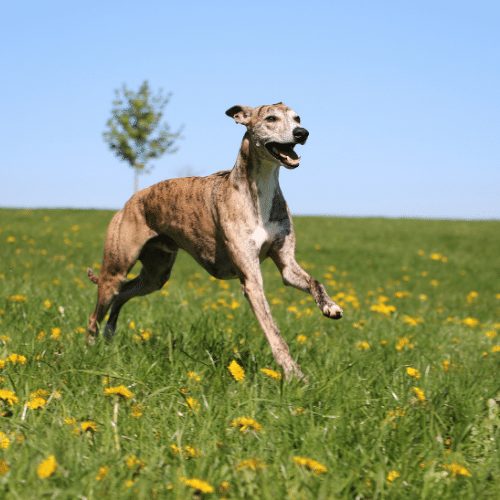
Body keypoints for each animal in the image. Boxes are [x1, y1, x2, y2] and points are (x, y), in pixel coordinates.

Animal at [88, 103, 342, 380]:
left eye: (297, 118)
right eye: (271, 118)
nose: (302, 133)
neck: (259, 189)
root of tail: (131, 200)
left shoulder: (287, 264)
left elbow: (314, 281)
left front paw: (329, 306)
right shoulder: (251, 280)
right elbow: (273, 330)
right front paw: (294, 374)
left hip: (156, 275)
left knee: (122, 294)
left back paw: (109, 335)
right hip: (116, 269)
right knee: (97, 312)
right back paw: (90, 350)